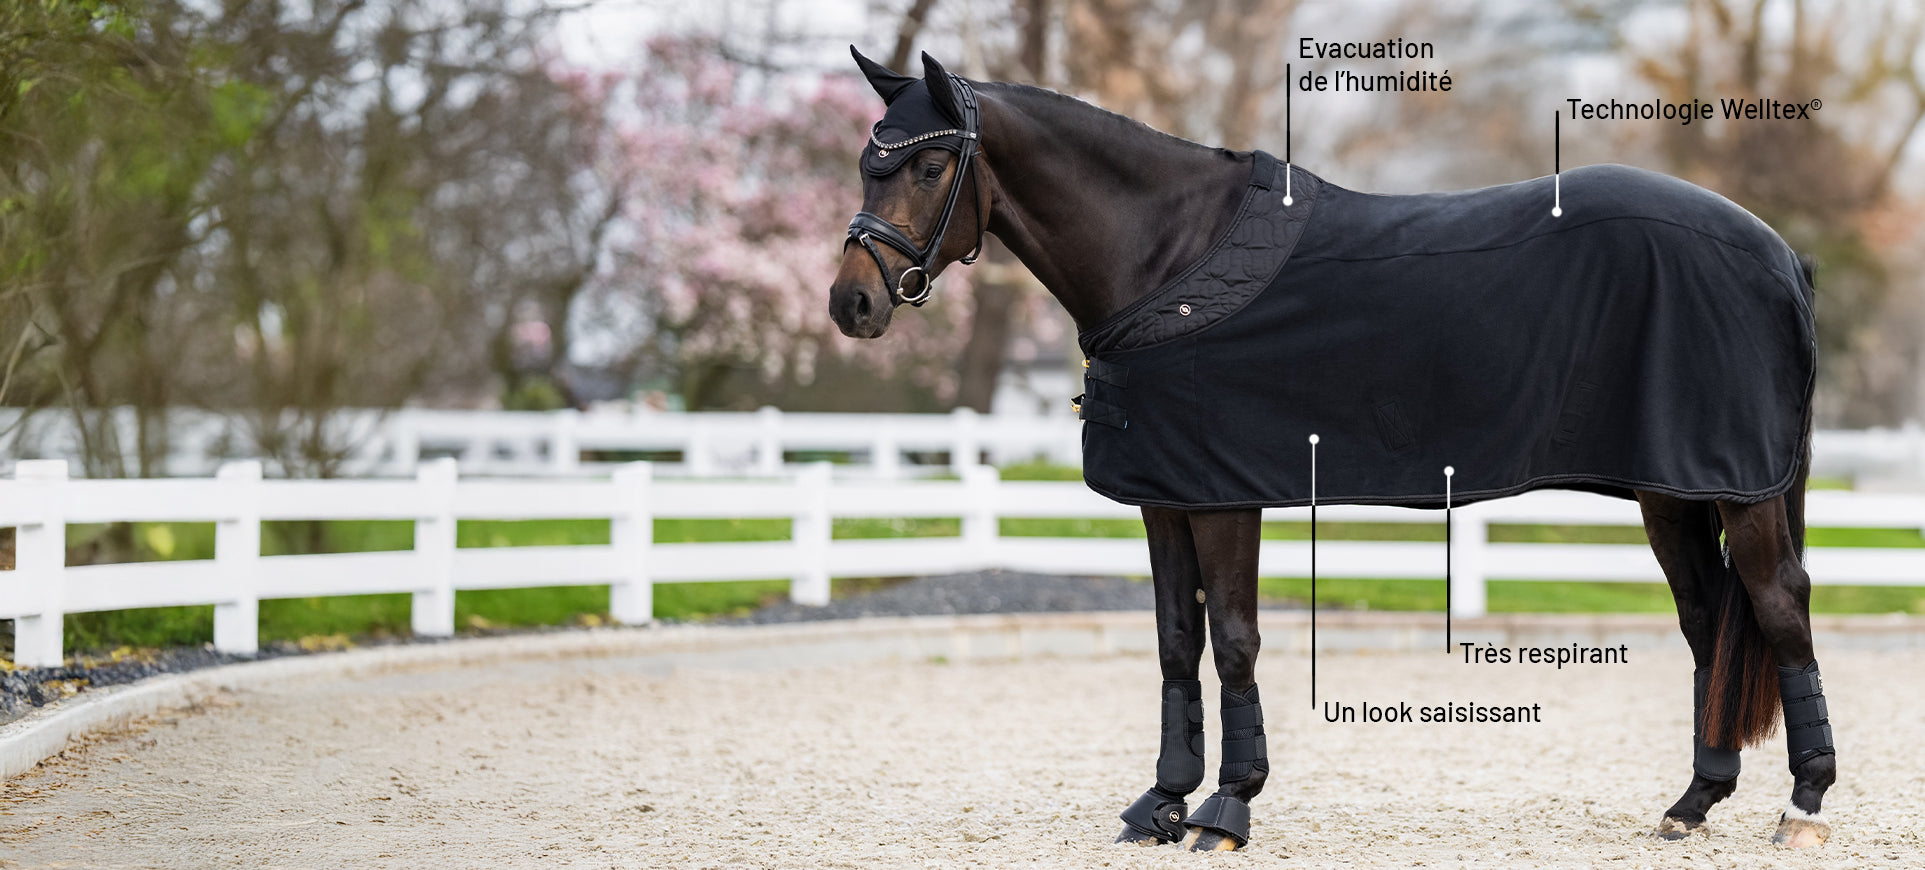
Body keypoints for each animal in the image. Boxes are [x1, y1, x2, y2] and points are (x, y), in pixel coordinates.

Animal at [827, 48, 1835, 852]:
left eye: (925, 164)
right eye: (868, 164)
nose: (851, 305)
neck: (1169, 260)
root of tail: (1778, 252)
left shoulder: (1222, 494)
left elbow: (1232, 640)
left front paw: (1226, 809)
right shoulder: (1164, 494)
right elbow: (1173, 641)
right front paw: (1160, 801)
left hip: (1739, 490)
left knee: (1778, 606)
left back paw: (1804, 805)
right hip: (1672, 489)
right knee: (1706, 621)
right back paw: (1692, 802)